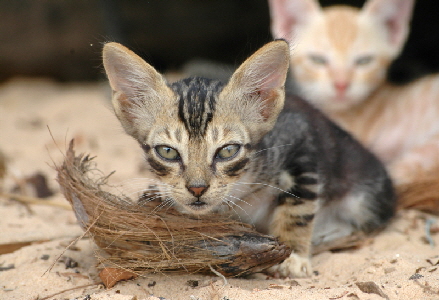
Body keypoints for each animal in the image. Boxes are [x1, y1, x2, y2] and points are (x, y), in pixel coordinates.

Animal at [103, 40, 396, 278]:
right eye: (167, 152)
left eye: (227, 151)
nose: (197, 188)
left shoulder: (302, 141)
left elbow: (297, 208)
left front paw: (293, 255)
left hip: (364, 195)